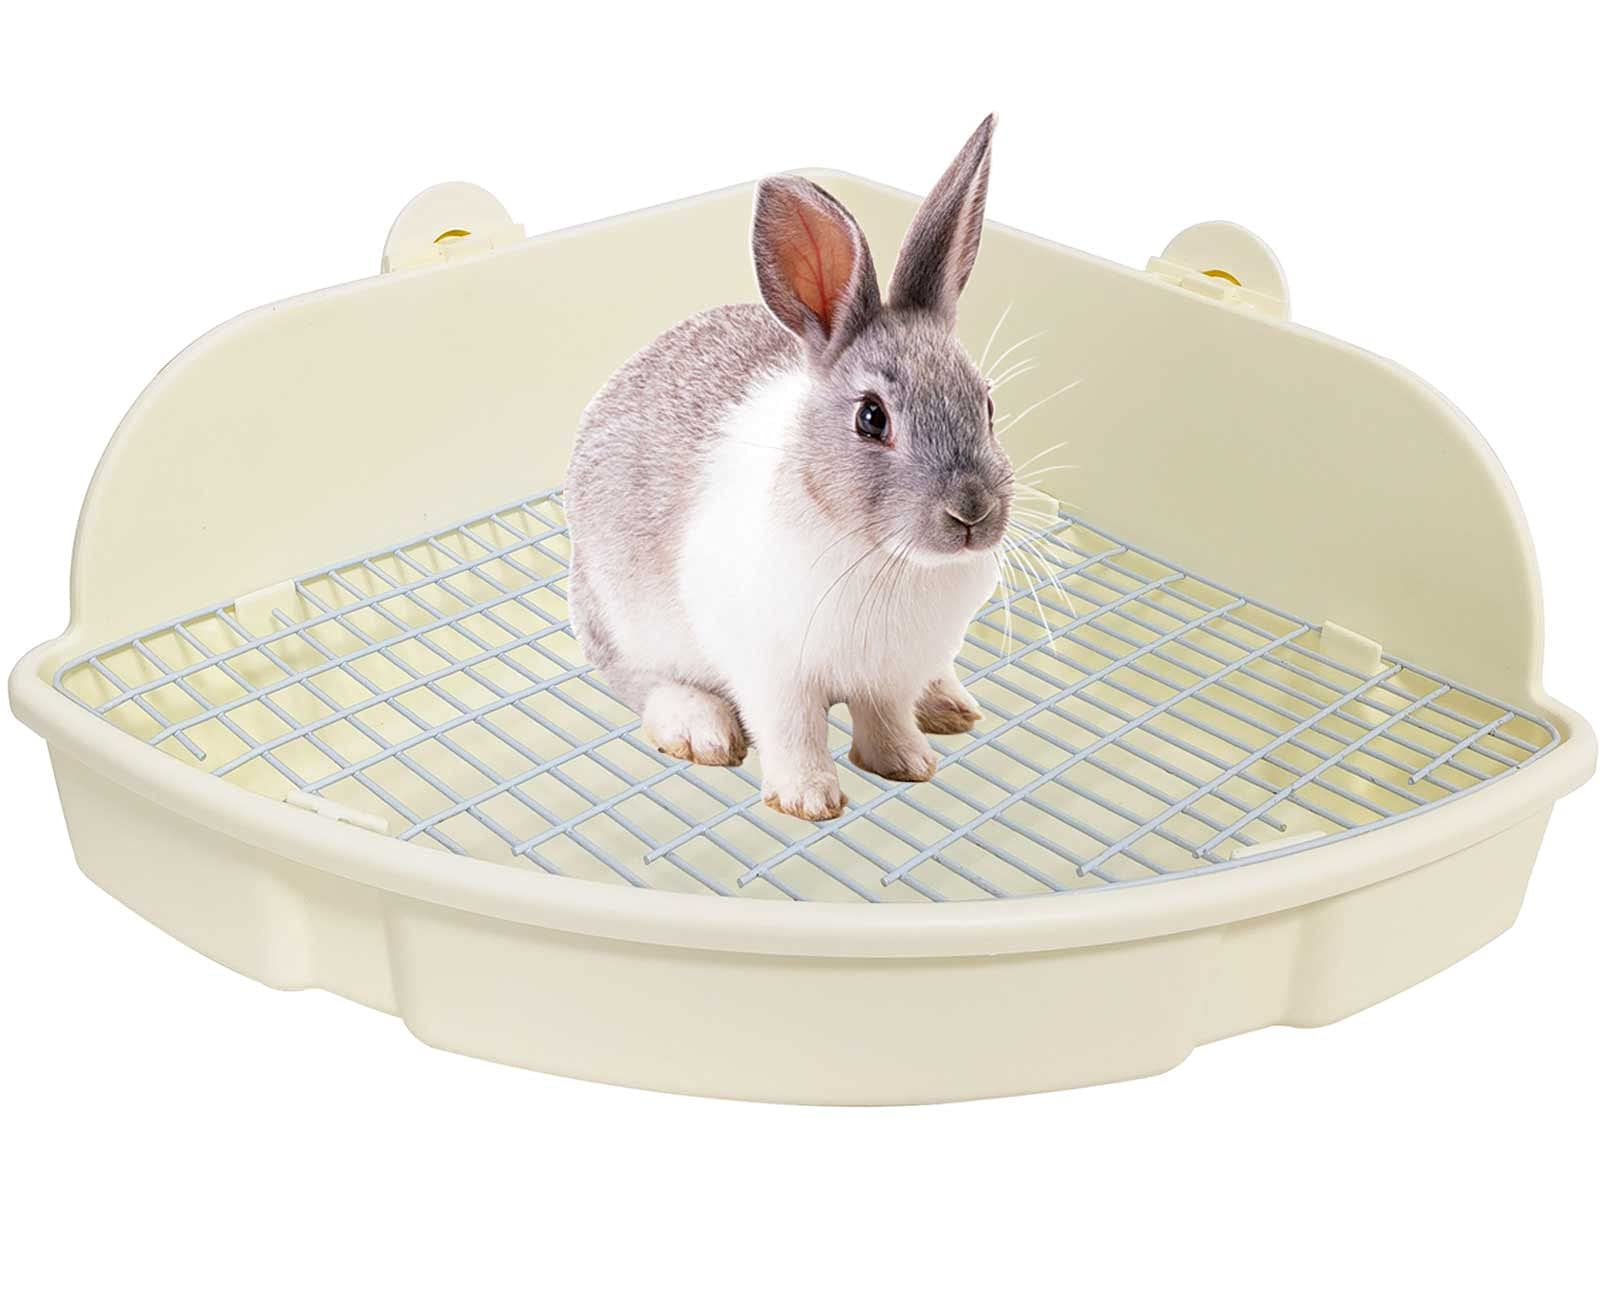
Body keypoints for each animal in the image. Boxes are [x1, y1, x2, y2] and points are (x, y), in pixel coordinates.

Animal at [565, 114, 1011, 821]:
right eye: (871, 418)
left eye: (988, 405)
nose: (972, 513)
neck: (885, 558)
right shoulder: (772, 671)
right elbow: (792, 731)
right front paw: (808, 801)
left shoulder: (888, 676)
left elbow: (885, 718)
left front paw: (908, 764)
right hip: (621, 619)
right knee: (641, 681)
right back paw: (700, 729)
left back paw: (948, 705)